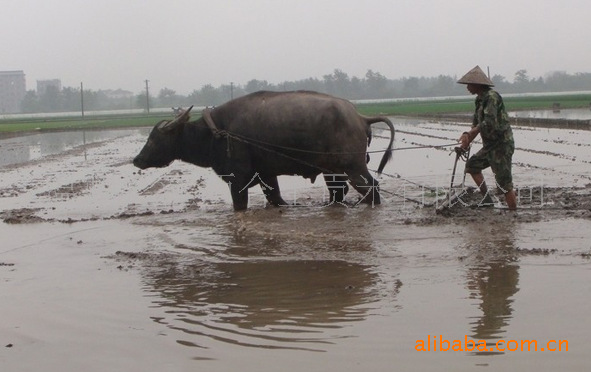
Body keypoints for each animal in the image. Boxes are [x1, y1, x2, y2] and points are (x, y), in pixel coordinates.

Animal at [133, 91, 394, 211]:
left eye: (154, 139)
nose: (137, 160)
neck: (217, 132)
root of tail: (360, 117)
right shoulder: (267, 175)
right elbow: (276, 198)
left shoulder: (237, 180)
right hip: (333, 171)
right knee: (338, 194)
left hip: (353, 168)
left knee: (372, 188)